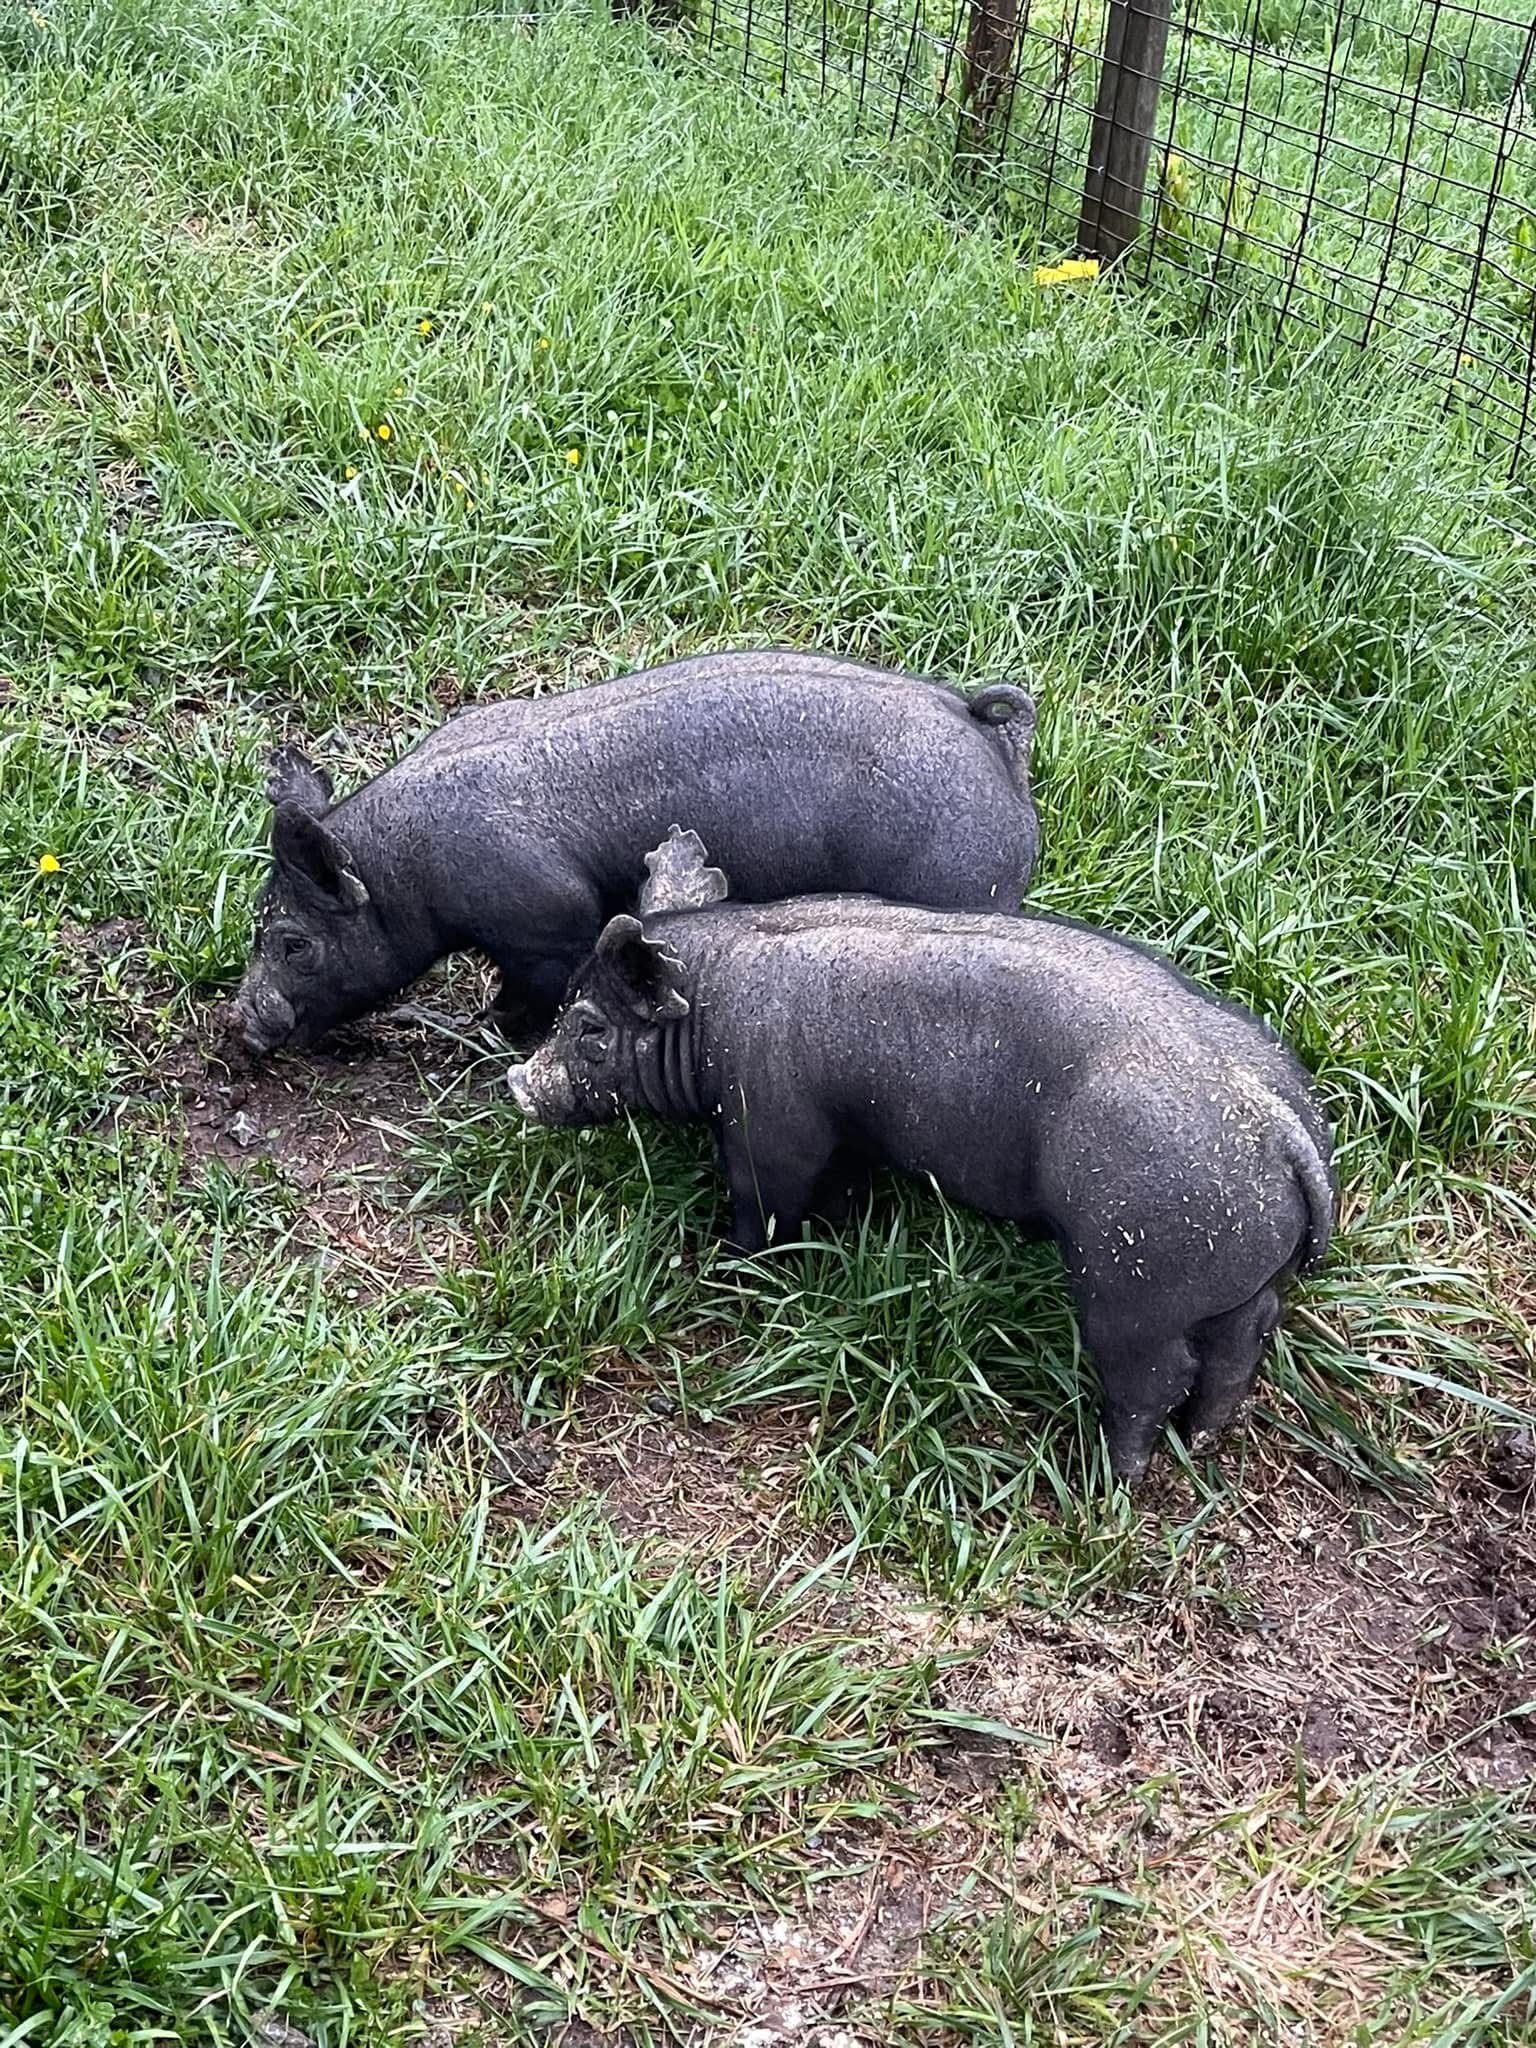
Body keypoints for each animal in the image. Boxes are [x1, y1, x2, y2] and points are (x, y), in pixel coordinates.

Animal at [227, 649, 1038, 1056]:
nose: (240, 1024)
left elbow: (530, 993)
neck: (407, 869)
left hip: (959, 875)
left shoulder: (548, 924)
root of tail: (989, 736)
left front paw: (480, 1033)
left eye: (294, 942)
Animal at [507, 830, 1336, 1482]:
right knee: (1242, 1342)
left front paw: (724, 1266)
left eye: (589, 1027)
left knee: (1156, 1376)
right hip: (1233, 1272)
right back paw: (1202, 1441)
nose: (519, 1081)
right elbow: (837, 1190)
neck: (713, 1003)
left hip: (1134, 1275)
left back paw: (1104, 1477)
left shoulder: (769, 1122)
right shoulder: (846, 1138)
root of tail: (1281, 1125)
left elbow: (764, 1203)